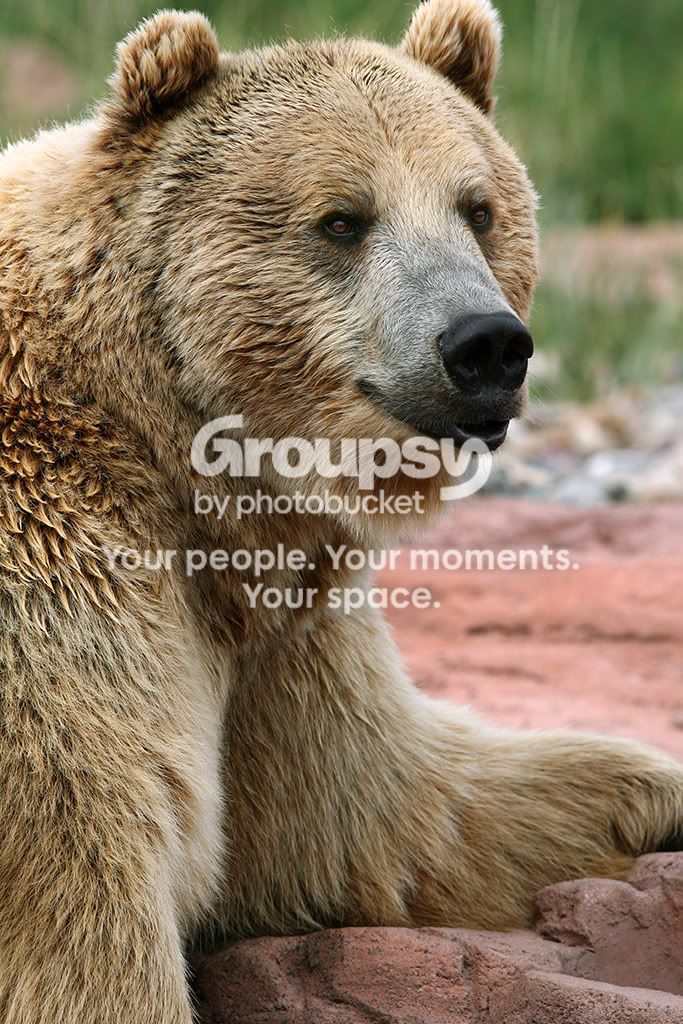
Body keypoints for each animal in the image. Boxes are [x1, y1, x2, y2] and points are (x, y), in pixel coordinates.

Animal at [0, 1, 682, 1021]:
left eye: (477, 208)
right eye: (341, 219)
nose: (485, 345)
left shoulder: (278, 626)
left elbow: (389, 810)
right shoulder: (54, 582)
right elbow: (79, 895)